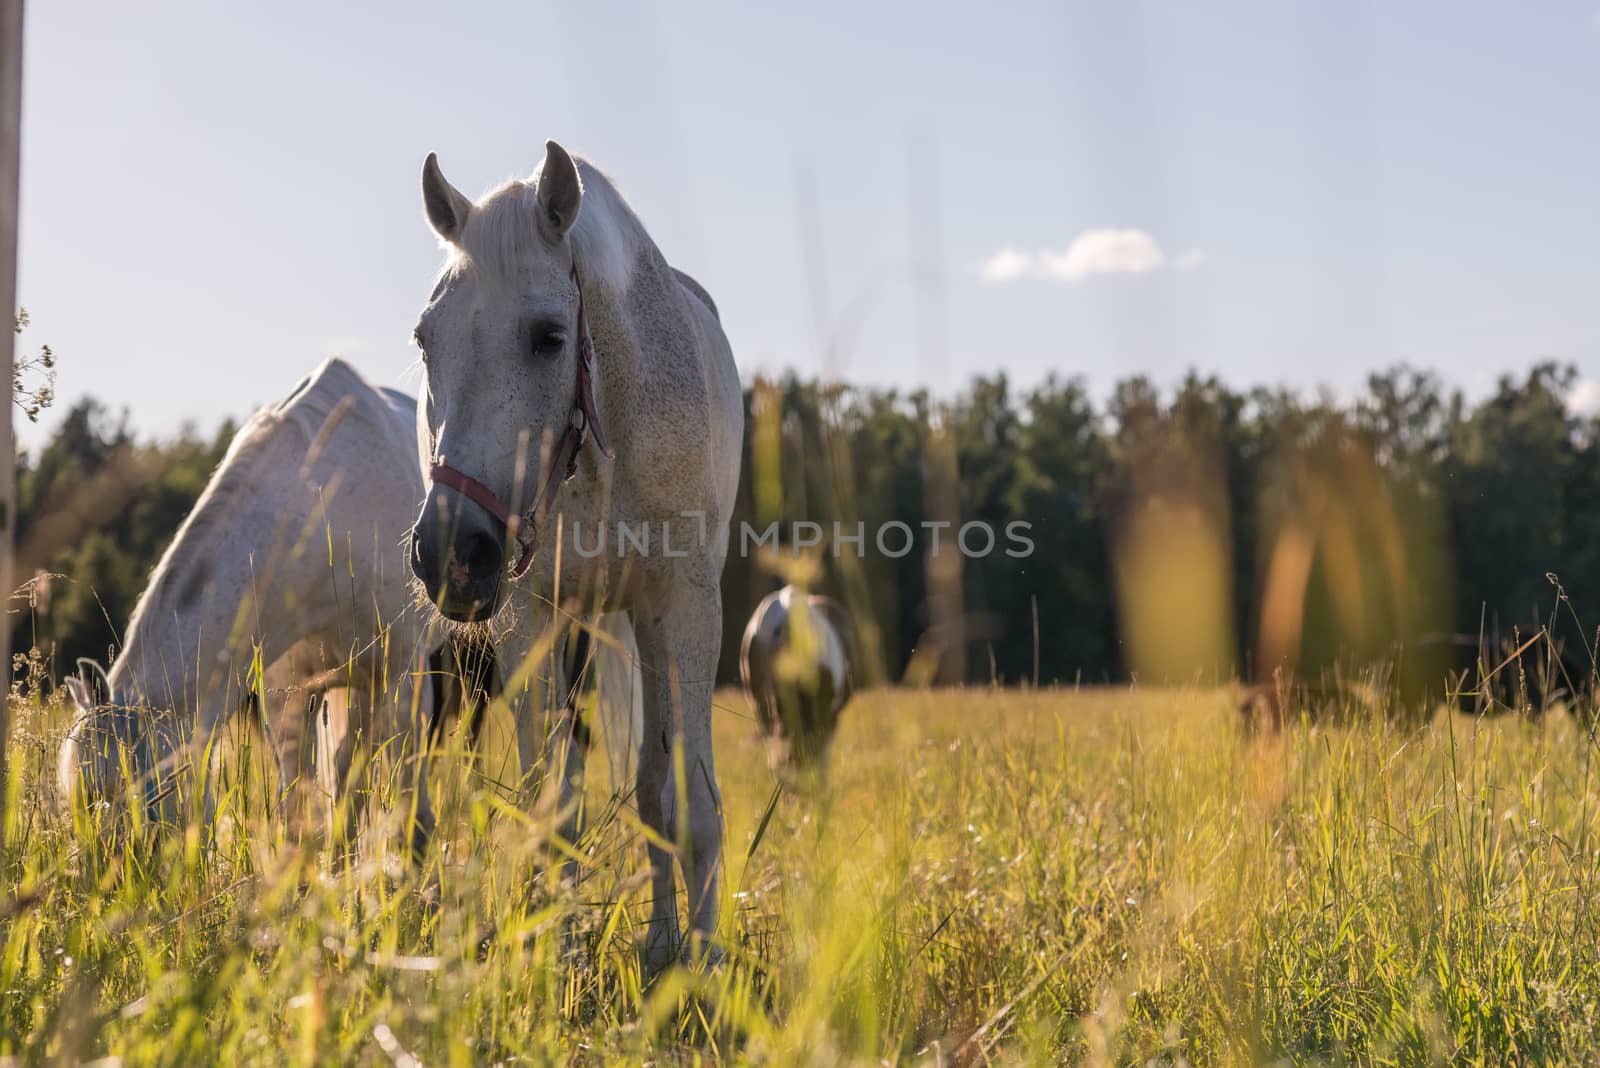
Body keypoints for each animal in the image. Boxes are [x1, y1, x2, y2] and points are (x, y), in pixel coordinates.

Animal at [62, 358, 473, 856]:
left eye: (130, 791)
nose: (100, 874)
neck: (322, 517)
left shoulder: (403, 672)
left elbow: (405, 792)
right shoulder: (286, 686)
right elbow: (300, 796)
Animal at [406, 141, 742, 965]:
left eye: (550, 336)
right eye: (426, 339)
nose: (451, 551)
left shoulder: (685, 608)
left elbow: (690, 800)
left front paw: (706, 967)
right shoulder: (530, 616)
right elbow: (552, 804)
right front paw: (549, 955)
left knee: (654, 786)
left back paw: (665, 942)